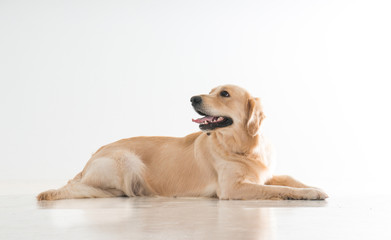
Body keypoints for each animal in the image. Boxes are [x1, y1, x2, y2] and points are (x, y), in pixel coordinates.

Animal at [38, 84, 330, 201]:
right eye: (211, 90)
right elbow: (279, 189)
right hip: (127, 160)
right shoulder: (232, 188)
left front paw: (315, 187)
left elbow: (289, 178)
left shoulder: (264, 174)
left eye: (224, 94)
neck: (243, 147)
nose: (193, 98)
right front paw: (309, 193)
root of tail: (88, 161)